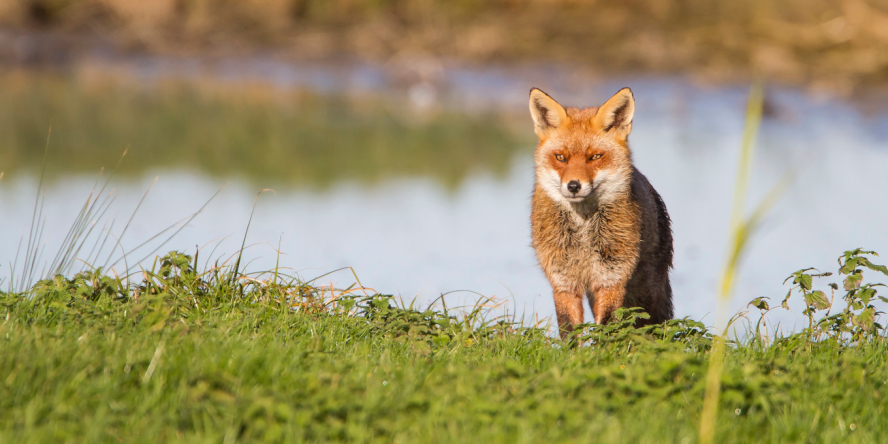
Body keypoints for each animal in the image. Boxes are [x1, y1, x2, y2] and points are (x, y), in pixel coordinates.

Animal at [528, 86, 672, 338]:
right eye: (561, 158)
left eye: (594, 157)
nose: (573, 186)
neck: (583, 229)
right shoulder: (564, 282)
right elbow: (570, 331)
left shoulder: (611, 279)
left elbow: (607, 327)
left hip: (644, 293)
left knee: (645, 324)